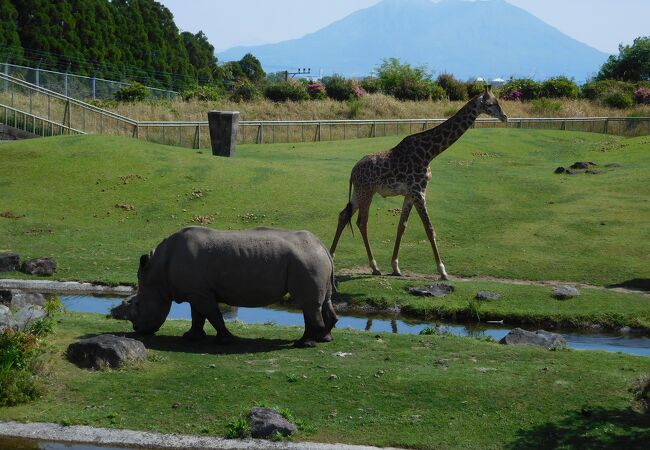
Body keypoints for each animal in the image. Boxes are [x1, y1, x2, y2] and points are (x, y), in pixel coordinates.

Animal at [330, 86, 506, 280]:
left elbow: (402, 227)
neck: (429, 153)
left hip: (358, 192)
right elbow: (429, 228)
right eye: (490, 104)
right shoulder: (419, 191)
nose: (505, 117)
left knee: (343, 215)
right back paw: (374, 267)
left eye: (498, 101)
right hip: (367, 192)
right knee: (362, 222)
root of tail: (352, 171)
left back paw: (331, 257)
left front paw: (396, 267)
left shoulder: (410, 194)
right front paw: (442, 271)